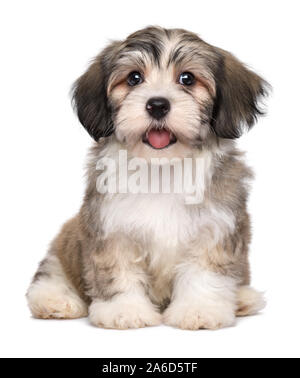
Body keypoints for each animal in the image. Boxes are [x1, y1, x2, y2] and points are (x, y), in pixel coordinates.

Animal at [26, 26, 270, 330]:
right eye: (134, 78)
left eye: (187, 79)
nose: (157, 105)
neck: (161, 167)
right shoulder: (110, 228)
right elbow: (116, 271)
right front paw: (124, 310)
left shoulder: (216, 227)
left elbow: (205, 272)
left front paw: (200, 309)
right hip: (65, 242)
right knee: (52, 271)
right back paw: (55, 300)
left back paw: (243, 298)